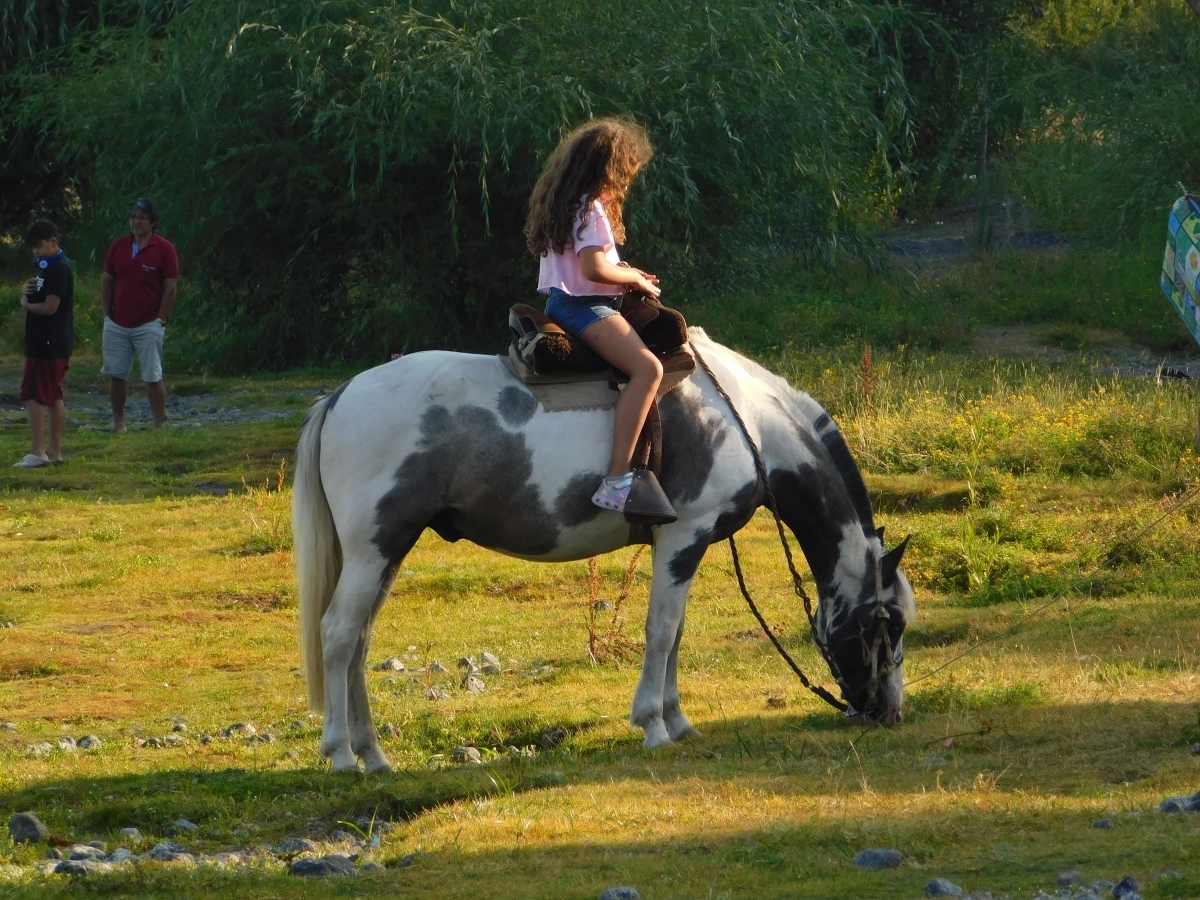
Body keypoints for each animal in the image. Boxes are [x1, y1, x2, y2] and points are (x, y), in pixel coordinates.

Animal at [295, 331, 912, 777]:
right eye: (887, 622)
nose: (887, 711)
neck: (746, 421)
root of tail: (343, 394)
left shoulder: (681, 547)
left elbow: (675, 632)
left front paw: (679, 722)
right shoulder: (684, 537)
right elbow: (661, 631)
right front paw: (654, 726)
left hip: (388, 550)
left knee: (358, 642)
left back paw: (374, 755)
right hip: (375, 547)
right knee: (339, 635)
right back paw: (342, 754)